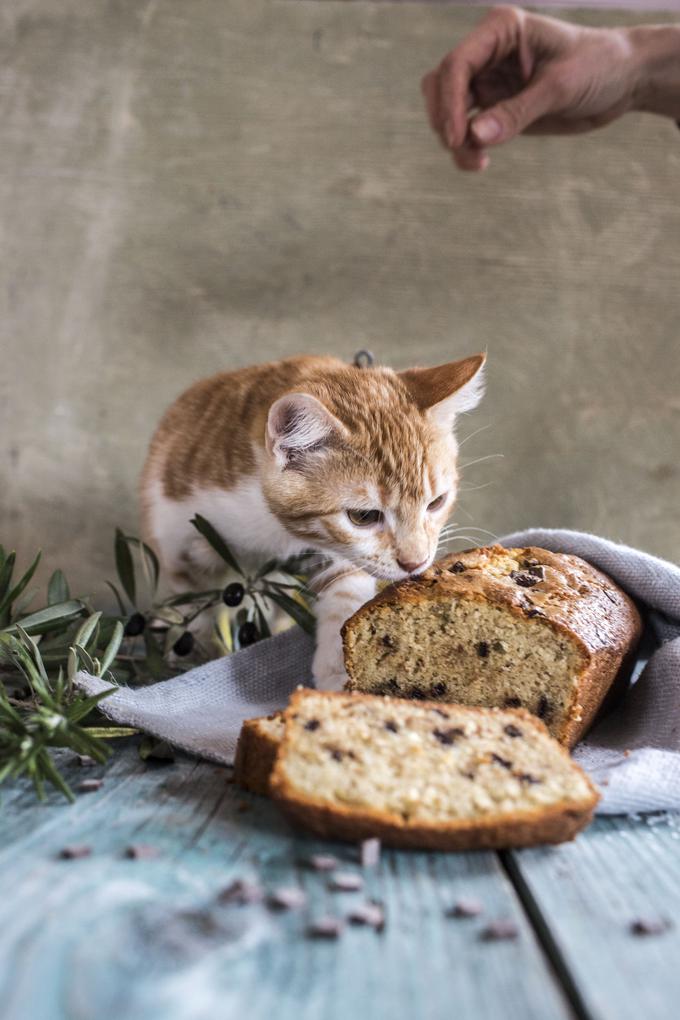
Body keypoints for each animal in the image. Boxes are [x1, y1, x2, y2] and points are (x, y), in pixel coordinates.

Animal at [140, 354, 487, 689]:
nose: (416, 562)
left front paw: (336, 672)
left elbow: (344, 594)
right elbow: (193, 604)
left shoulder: (338, 557)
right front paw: (196, 654)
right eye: (364, 516)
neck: (272, 525)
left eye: (436, 502)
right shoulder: (177, 529)